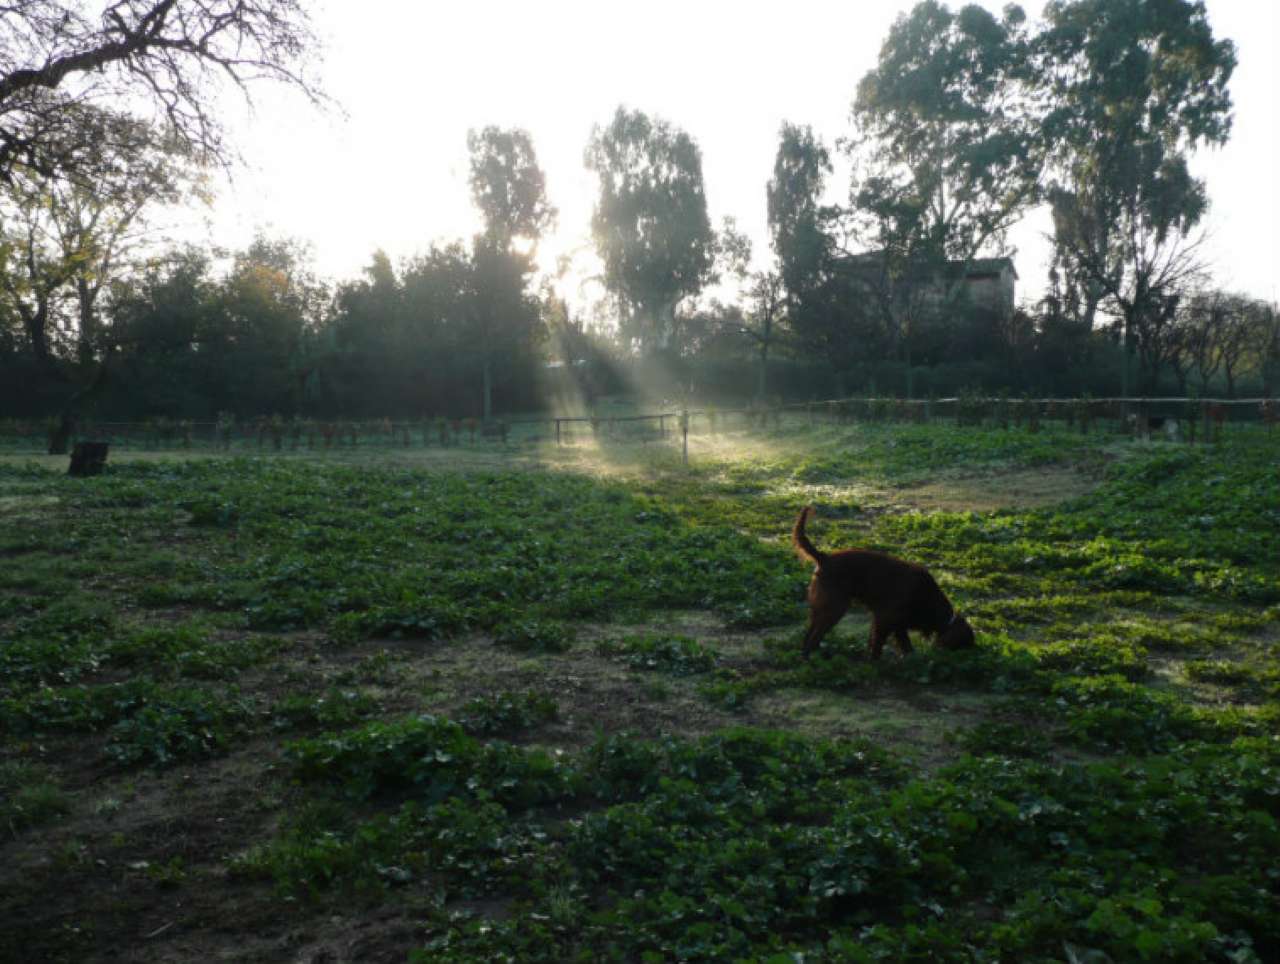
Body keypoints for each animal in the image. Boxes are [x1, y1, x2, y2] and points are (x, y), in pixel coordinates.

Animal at [788, 506, 967, 660]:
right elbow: (878, 644)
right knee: (814, 637)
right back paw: (809, 658)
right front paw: (875, 662)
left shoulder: (897, 622)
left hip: (822, 609)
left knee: (810, 634)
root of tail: (824, 557)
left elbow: (904, 644)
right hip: (835, 608)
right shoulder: (885, 618)